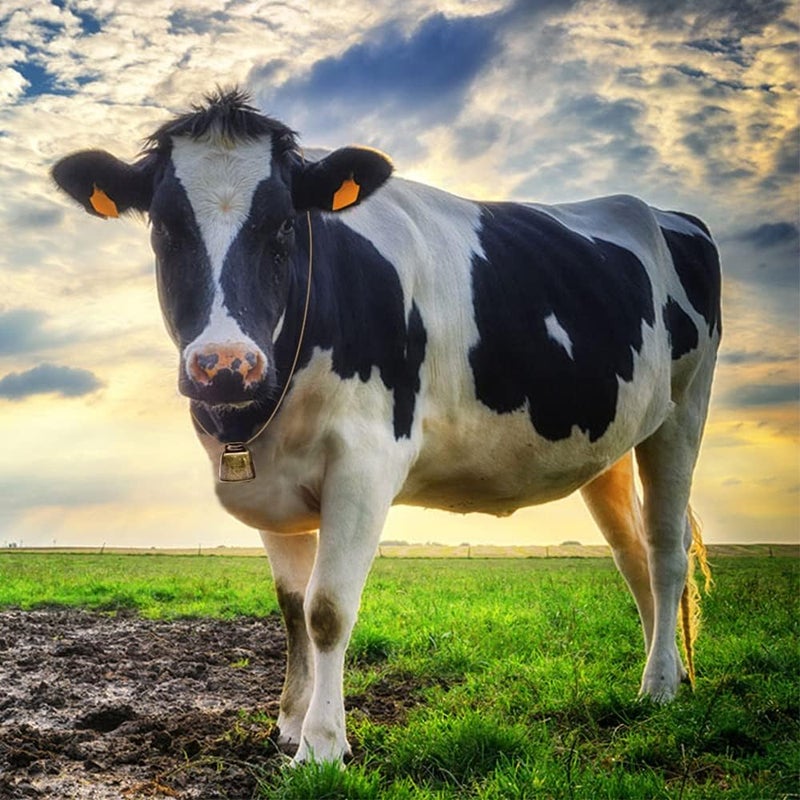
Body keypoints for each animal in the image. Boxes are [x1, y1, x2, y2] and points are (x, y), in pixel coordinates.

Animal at [52, 87, 721, 765]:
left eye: (284, 225)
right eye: (165, 227)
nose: (225, 366)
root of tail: (667, 213)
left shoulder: (366, 460)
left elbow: (326, 608)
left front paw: (321, 747)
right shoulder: (265, 476)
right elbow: (291, 605)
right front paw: (289, 723)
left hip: (683, 410)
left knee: (665, 552)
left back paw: (661, 687)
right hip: (608, 445)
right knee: (631, 555)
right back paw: (663, 674)